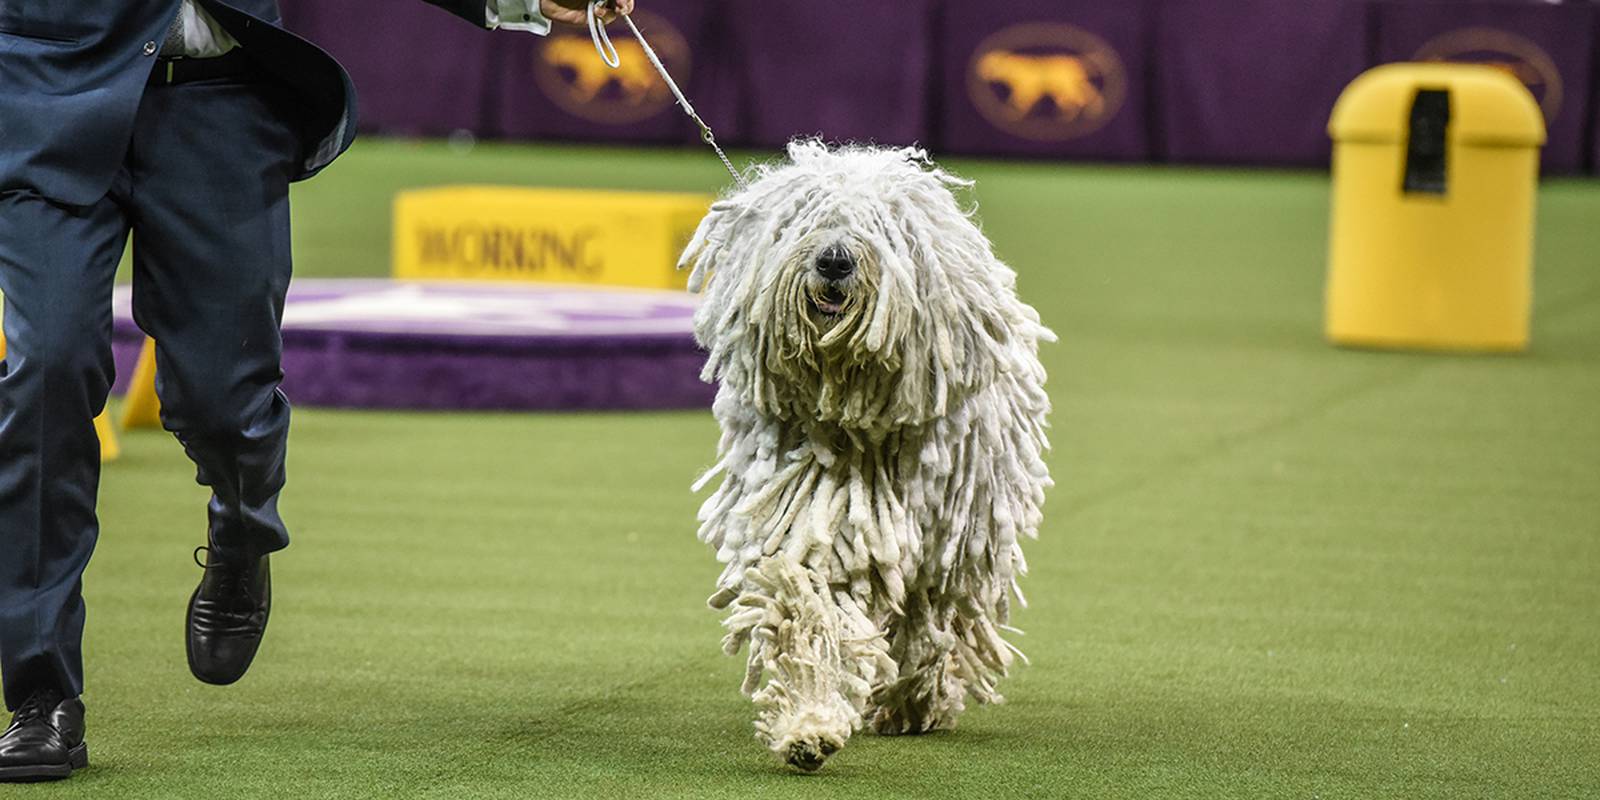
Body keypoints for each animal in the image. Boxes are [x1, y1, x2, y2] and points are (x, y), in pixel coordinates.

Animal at [681, 140, 1056, 771]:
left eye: (881, 228)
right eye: (804, 218)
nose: (834, 261)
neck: (850, 407)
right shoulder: (808, 514)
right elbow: (809, 605)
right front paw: (808, 725)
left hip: (965, 533)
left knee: (934, 618)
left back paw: (914, 699)